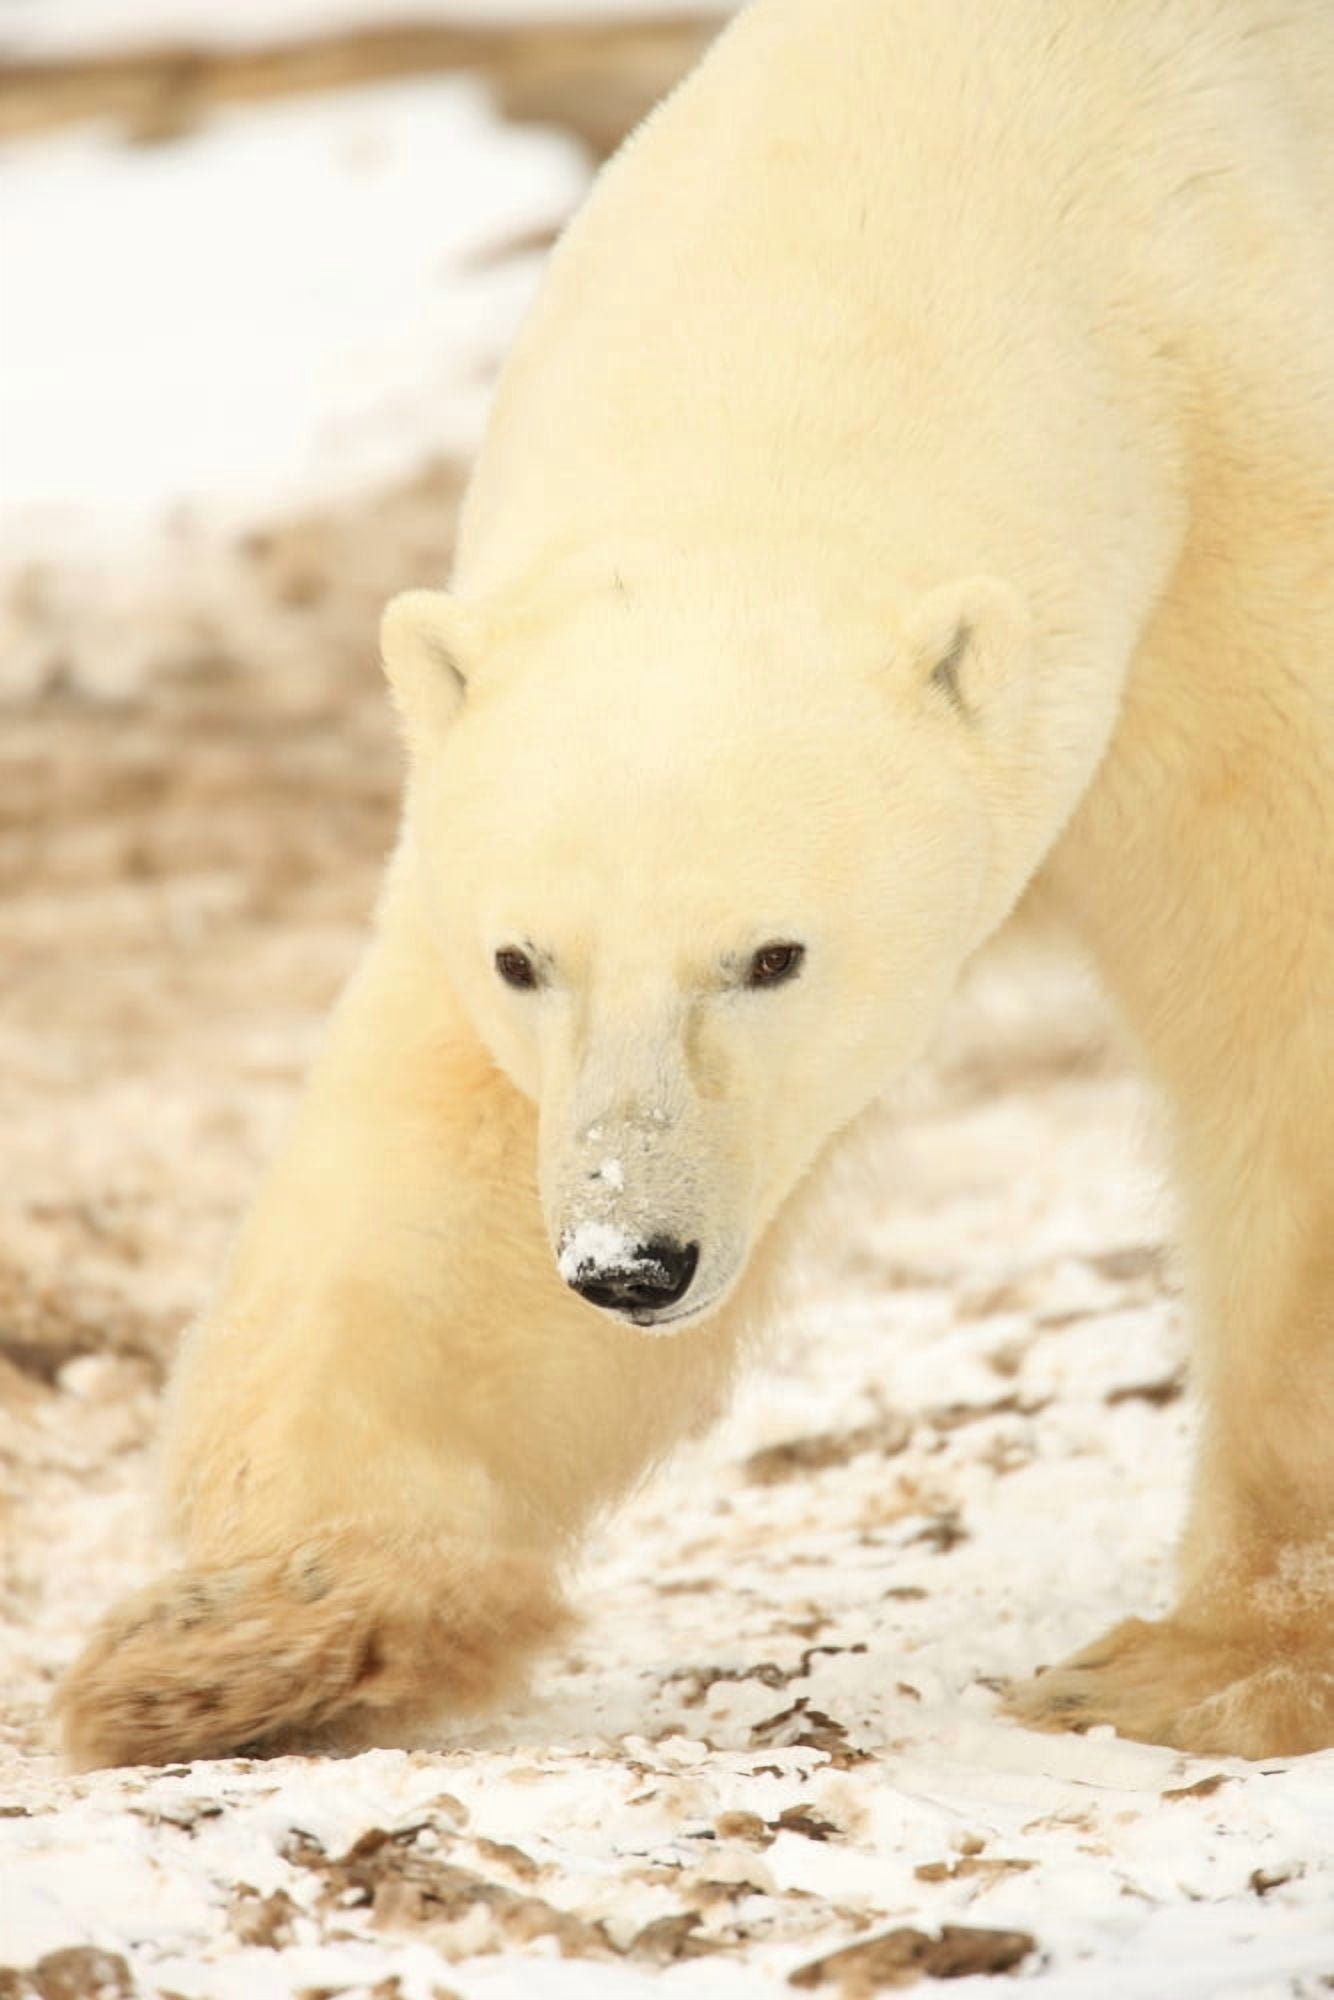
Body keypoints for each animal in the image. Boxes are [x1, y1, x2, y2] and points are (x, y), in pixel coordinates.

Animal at [58, 0, 1334, 1766]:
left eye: (773, 956)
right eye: (524, 960)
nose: (628, 1261)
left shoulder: (1234, 555)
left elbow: (1283, 1016)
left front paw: (1204, 1664)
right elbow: (447, 1165)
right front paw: (255, 1634)